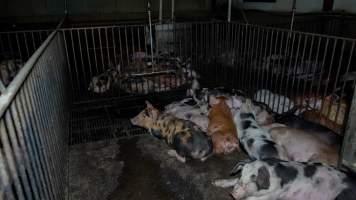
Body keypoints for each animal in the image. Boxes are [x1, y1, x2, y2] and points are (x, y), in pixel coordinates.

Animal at [213, 159, 354, 199]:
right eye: (241, 175)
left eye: (254, 179)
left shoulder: (275, 194)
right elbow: (233, 180)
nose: (233, 193)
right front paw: (215, 182)